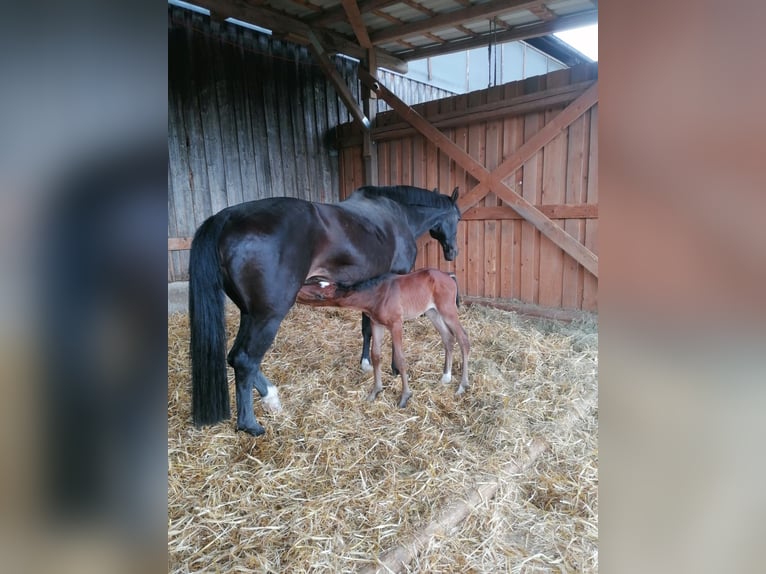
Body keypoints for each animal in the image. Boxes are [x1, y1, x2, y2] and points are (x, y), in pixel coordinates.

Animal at [296, 268, 471, 408]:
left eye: (319, 295)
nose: (296, 290)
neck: (377, 295)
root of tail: (448, 275)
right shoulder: (376, 324)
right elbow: (376, 355)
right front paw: (375, 392)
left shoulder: (396, 324)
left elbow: (400, 359)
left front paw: (404, 397)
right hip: (432, 312)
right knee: (448, 337)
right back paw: (446, 377)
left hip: (447, 311)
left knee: (463, 339)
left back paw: (462, 386)